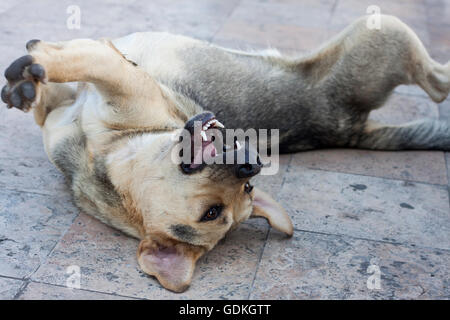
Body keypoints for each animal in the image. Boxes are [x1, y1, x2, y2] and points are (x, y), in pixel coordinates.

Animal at [2, 14, 450, 292]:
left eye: (213, 213)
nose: (253, 163)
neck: (108, 155)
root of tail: (349, 130)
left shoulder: (120, 78)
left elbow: (79, 57)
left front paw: (39, 63)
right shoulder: (65, 109)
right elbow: (49, 89)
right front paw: (26, 86)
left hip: (381, 30)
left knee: (437, 81)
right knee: (437, 83)